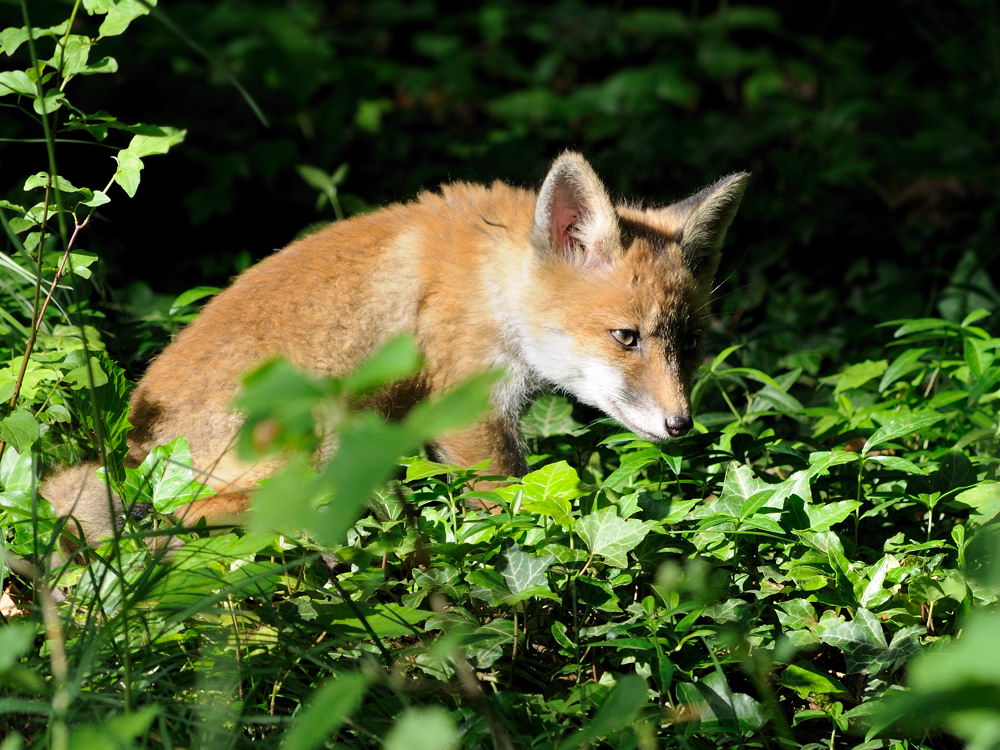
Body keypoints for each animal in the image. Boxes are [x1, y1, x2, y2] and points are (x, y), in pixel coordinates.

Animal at [42, 152, 748, 546]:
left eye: (689, 343)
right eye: (625, 337)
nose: (681, 425)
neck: (492, 280)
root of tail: (133, 450)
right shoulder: (468, 408)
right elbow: (510, 502)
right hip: (320, 433)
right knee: (193, 516)